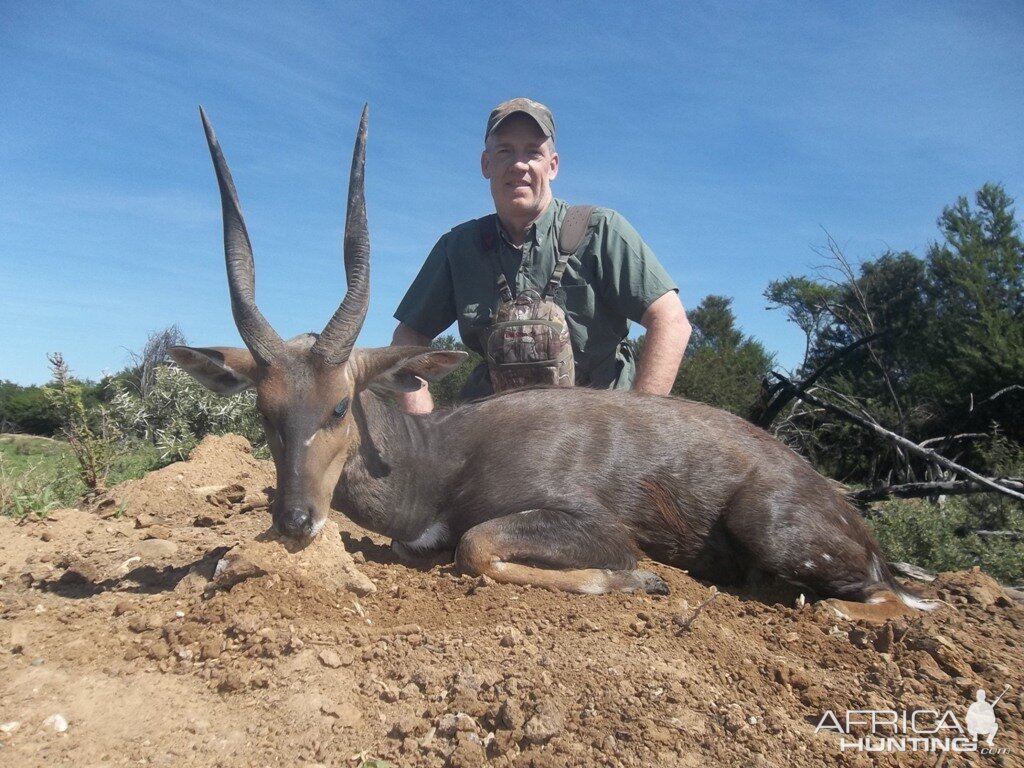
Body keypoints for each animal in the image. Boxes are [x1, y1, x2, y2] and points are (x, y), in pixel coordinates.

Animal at [174, 108, 937, 622]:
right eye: (266, 412)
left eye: (338, 405)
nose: (295, 521)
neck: (438, 459)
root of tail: (854, 519)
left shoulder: (593, 526)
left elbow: (476, 547)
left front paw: (643, 581)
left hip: (774, 530)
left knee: (893, 600)